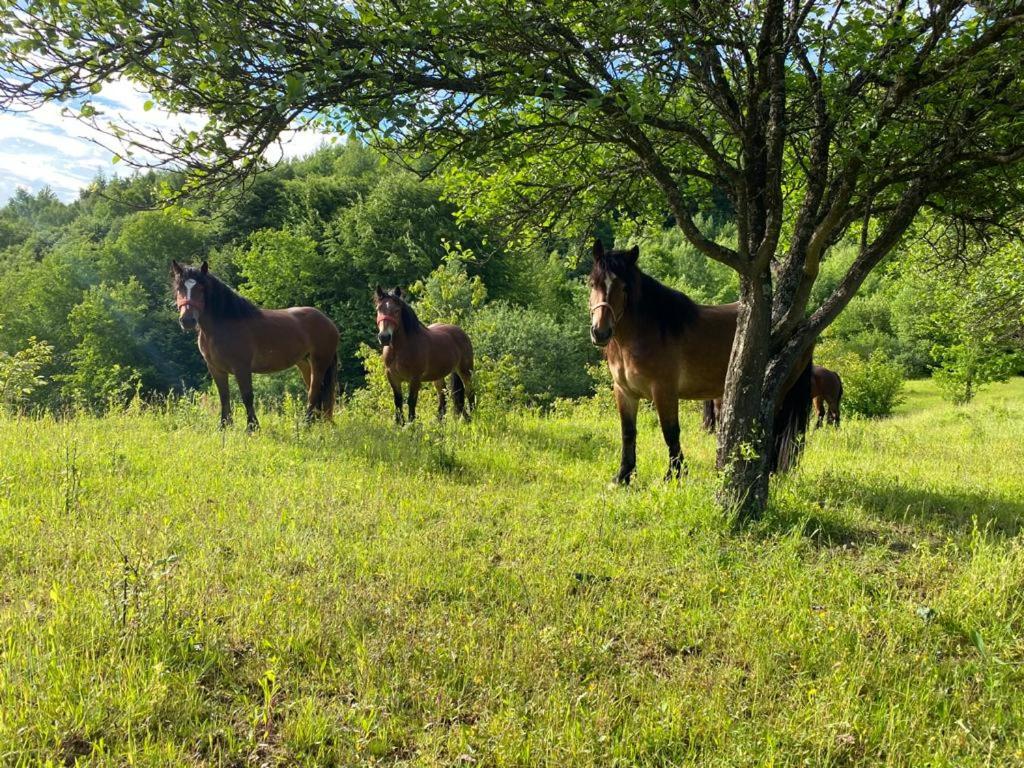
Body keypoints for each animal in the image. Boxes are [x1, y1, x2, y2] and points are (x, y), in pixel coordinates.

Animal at [172, 260, 339, 430]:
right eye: (179, 288)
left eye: (200, 288)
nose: (187, 320)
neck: (224, 325)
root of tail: (329, 322)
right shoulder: (216, 369)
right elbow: (224, 396)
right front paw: (225, 426)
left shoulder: (241, 368)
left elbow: (247, 396)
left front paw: (252, 427)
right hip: (305, 363)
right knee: (314, 389)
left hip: (319, 362)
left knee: (314, 390)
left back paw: (307, 423)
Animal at [374, 286, 475, 424]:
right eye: (379, 309)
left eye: (396, 310)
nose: (384, 337)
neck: (400, 349)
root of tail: (461, 332)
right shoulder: (392, 377)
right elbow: (398, 401)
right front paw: (399, 424)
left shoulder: (415, 379)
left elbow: (411, 401)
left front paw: (410, 424)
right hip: (438, 376)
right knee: (443, 397)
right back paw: (440, 423)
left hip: (465, 371)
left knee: (469, 392)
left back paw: (473, 417)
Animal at [588, 240, 813, 484]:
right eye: (592, 283)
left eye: (624, 288)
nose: (600, 332)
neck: (646, 332)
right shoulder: (624, 391)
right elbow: (628, 432)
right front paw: (623, 476)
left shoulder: (664, 391)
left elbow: (670, 432)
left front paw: (674, 475)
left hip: (779, 388)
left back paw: (768, 472)